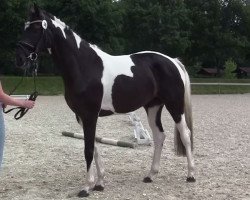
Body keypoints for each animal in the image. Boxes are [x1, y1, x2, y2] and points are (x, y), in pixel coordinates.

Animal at [15, 5, 195, 198]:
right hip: (153, 107)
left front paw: (86, 187)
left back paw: (191, 175)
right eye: (25, 27)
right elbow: (94, 147)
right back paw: (150, 175)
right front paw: (99, 183)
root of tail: (173, 61)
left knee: (185, 134)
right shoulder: (82, 117)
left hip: (174, 106)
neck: (84, 66)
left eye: (35, 28)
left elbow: (88, 149)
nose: (19, 58)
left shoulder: (90, 115)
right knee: (159, 136)